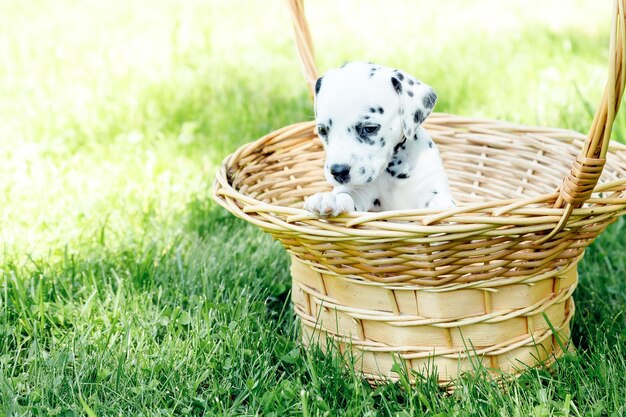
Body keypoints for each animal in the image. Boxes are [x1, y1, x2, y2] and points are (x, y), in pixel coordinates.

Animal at [302, 63, 454, 218]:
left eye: (369, 128)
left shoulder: (437, 194)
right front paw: (330, 198)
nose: (338, 171)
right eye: (322, 130)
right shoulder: (361, 191)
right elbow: (347, 195)